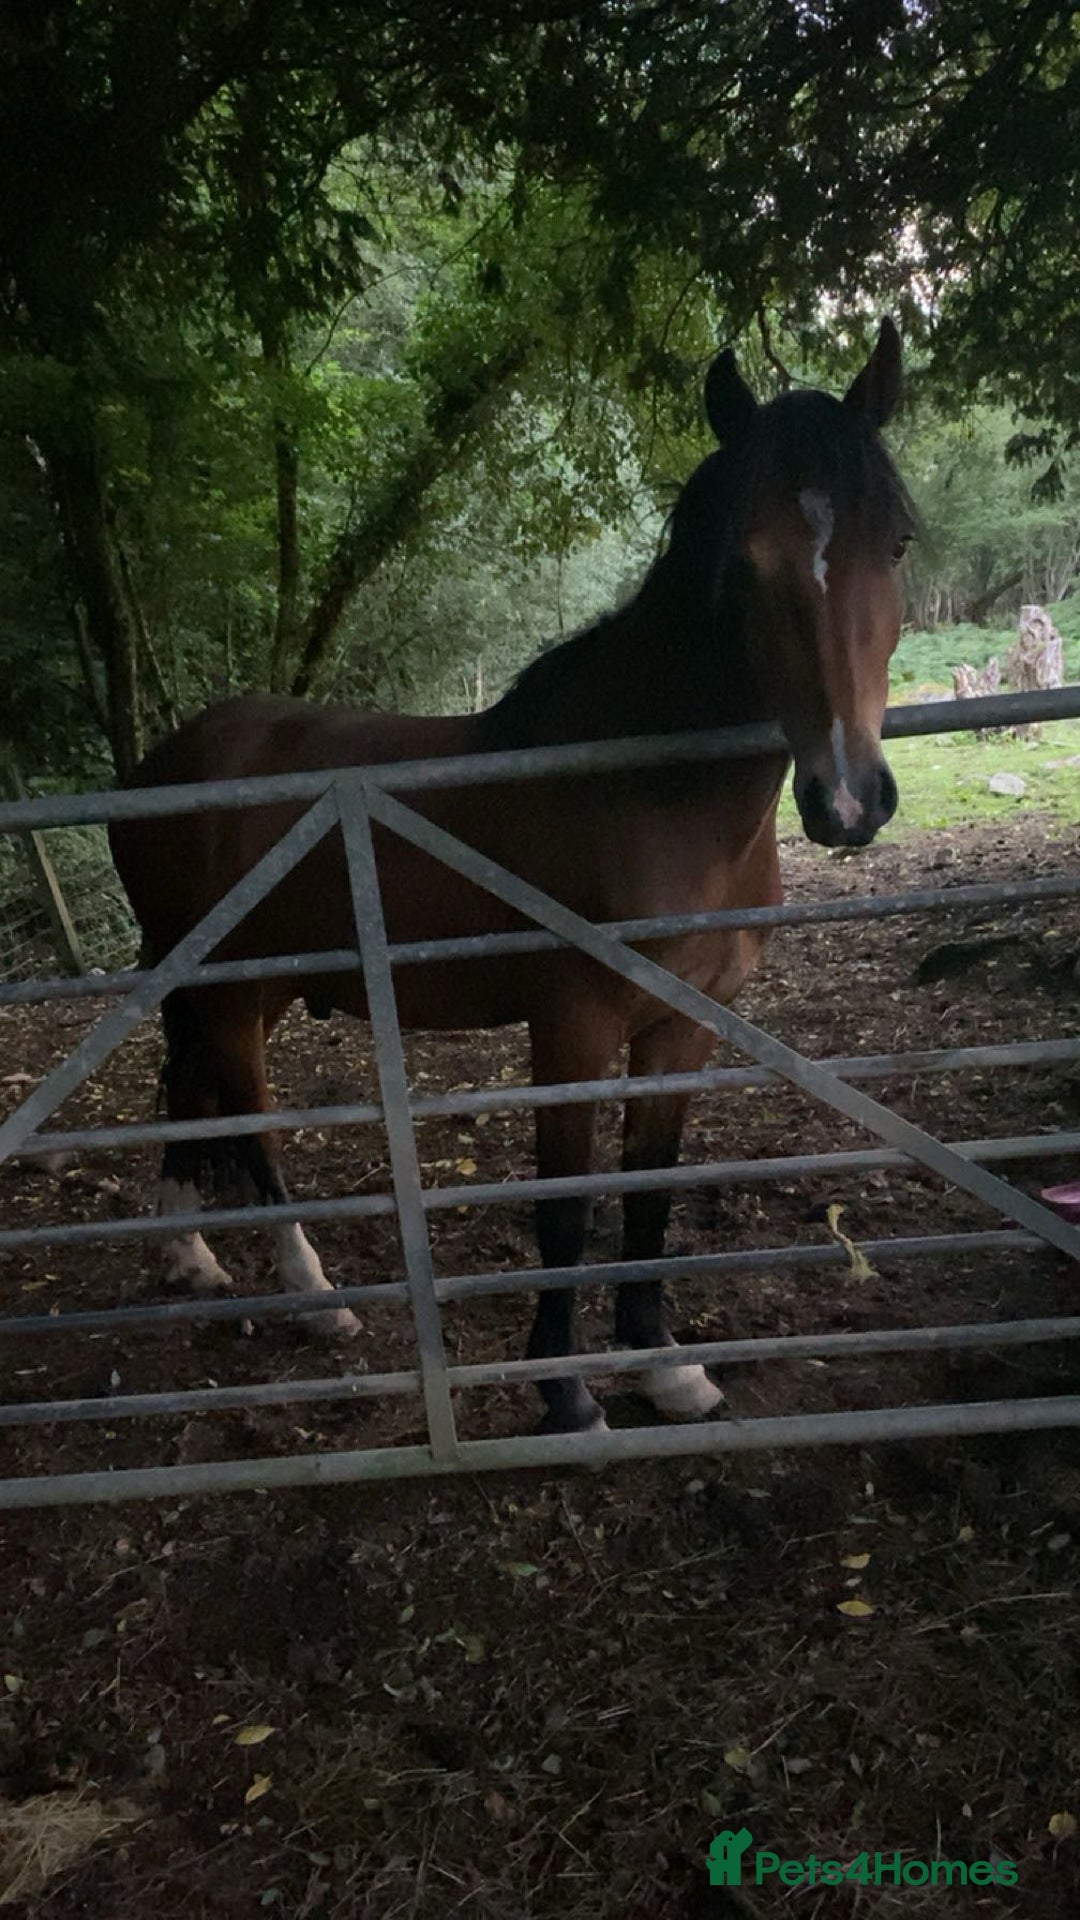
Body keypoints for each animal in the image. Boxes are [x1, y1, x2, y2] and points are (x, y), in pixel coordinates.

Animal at [108, 320, 913, 1435]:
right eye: (743, 565)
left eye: (898, 543)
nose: (846, 800)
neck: (643, 791)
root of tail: (161, 765)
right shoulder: (571, 1026)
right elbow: (565, 1207)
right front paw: (565, 1390)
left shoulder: (684, 1025)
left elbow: (650, 1192)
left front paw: (665, 1368)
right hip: (230, 997)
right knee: (248, 1124)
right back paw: (316, 1299)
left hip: (243, 988)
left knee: (188, 1090)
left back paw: (188, 1257)